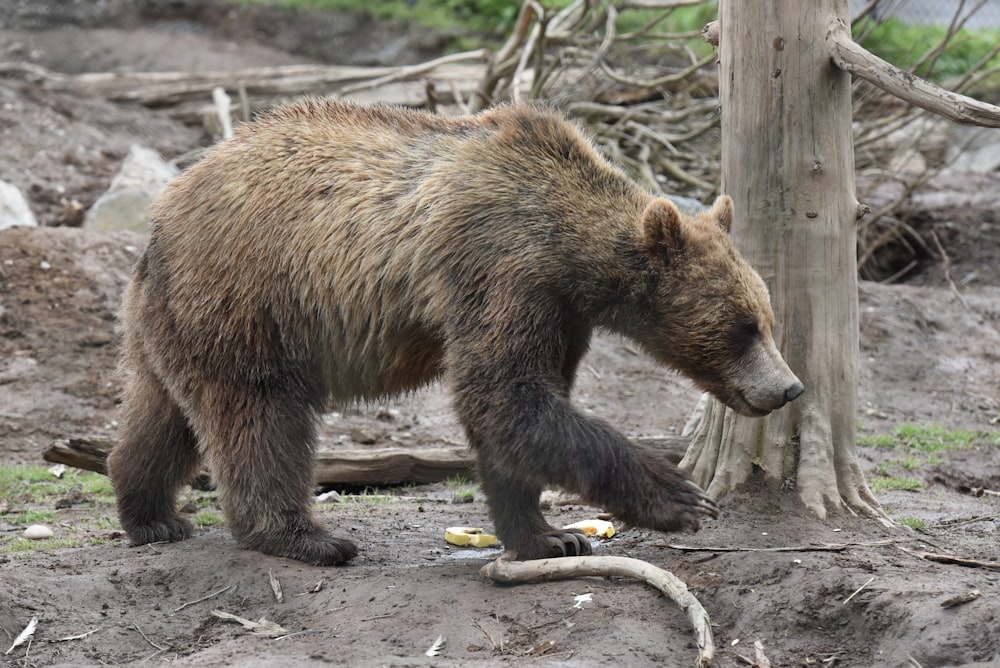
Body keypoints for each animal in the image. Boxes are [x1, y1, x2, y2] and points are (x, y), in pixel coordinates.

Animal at [105, 99, 800, 564]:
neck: (572, 256)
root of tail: (163, 215)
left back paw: (152, 516)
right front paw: (681, 499)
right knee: (260, 416)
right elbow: (505, 397)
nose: (789, 387)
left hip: (170, 321)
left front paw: (548, 535)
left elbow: (522, 409)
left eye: (767, 320)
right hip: (252, 298)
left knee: (163, 415)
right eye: (743, 328)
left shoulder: (560, 314)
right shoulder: (501, 269)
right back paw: (306, 536)